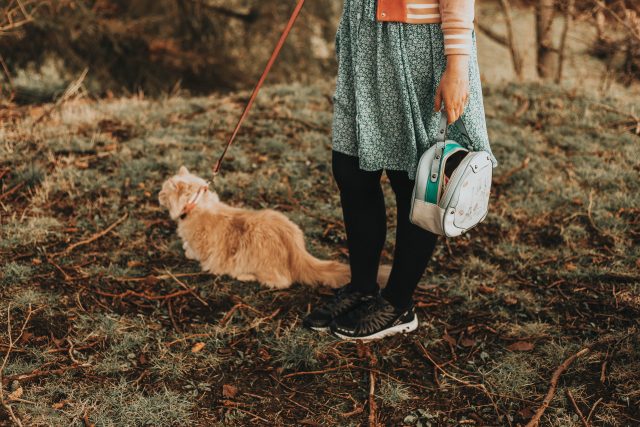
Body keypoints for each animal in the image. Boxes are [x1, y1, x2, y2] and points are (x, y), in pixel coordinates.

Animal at [160, 167, 390, 290]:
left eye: (163, 191)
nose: (158, 194)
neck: (197, 204)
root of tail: (297, 249)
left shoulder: (202, 245)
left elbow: (193, 250)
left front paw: (188, 252)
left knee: (283, 282)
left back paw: (245, 276)